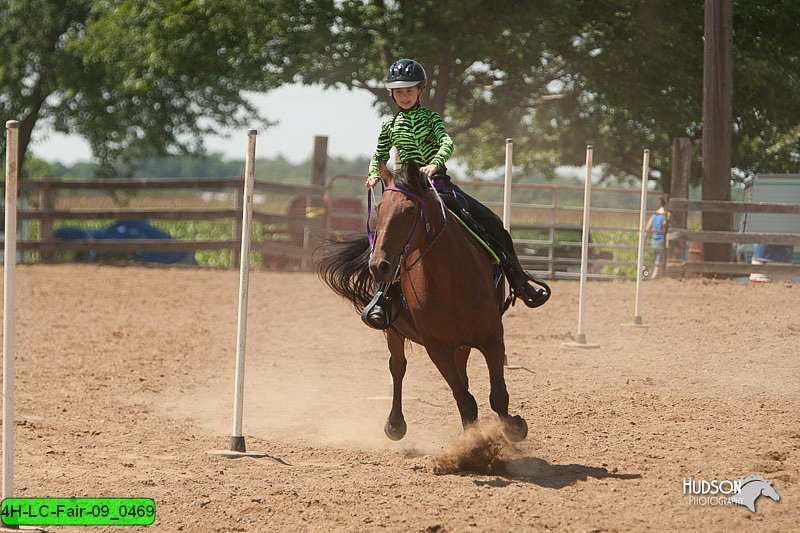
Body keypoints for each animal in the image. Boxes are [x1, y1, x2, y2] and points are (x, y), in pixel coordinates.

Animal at [316, 159, 528, 440]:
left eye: (409, 210)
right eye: (379, 208)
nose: (379, 266)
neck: (451, 281)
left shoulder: (492, 336)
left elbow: (497, 396)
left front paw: (513, 427)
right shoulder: (435, 346)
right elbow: (465, 400)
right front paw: (473, 444)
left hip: (463, 342)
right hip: (393, 332)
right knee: (398, 366)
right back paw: (395, 423)